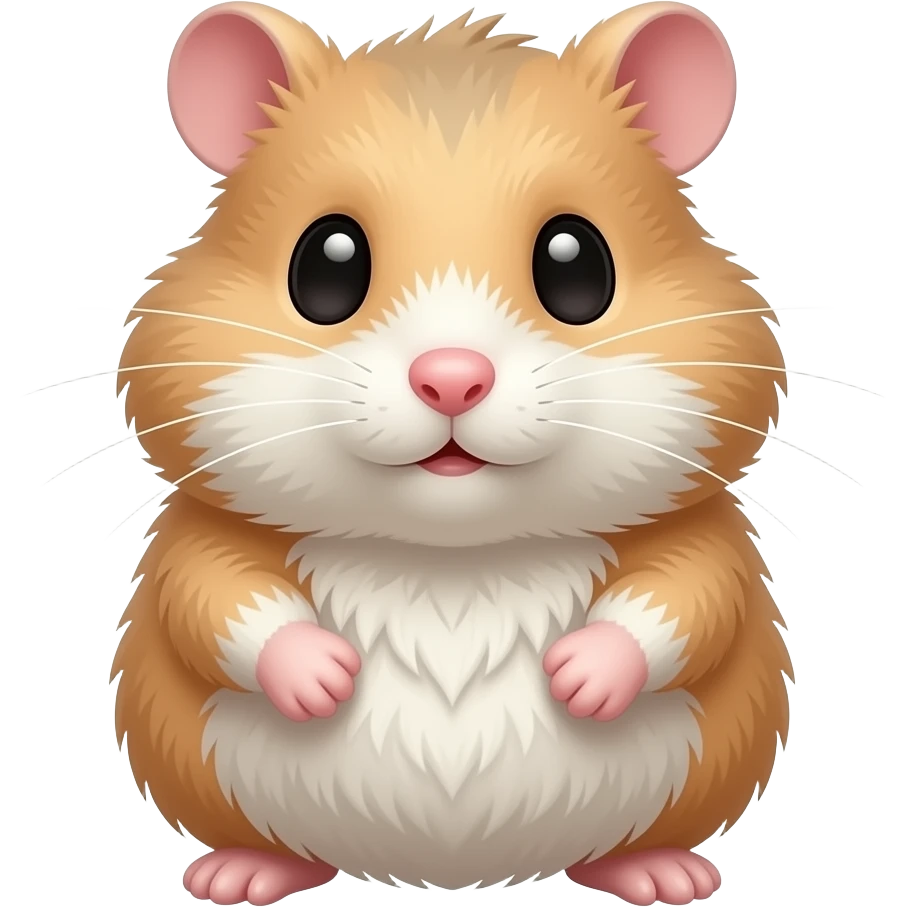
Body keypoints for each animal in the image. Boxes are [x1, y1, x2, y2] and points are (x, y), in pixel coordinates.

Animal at [111, 3, 792, 905]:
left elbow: (683, 598)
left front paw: (576, 679)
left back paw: (661, 874)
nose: (451, 380)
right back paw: (240, 874)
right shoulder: (198, 538)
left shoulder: (704, 538)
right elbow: (219, 598)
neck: (451, 558)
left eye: (576, 263)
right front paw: (325, 679)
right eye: (325, 263)